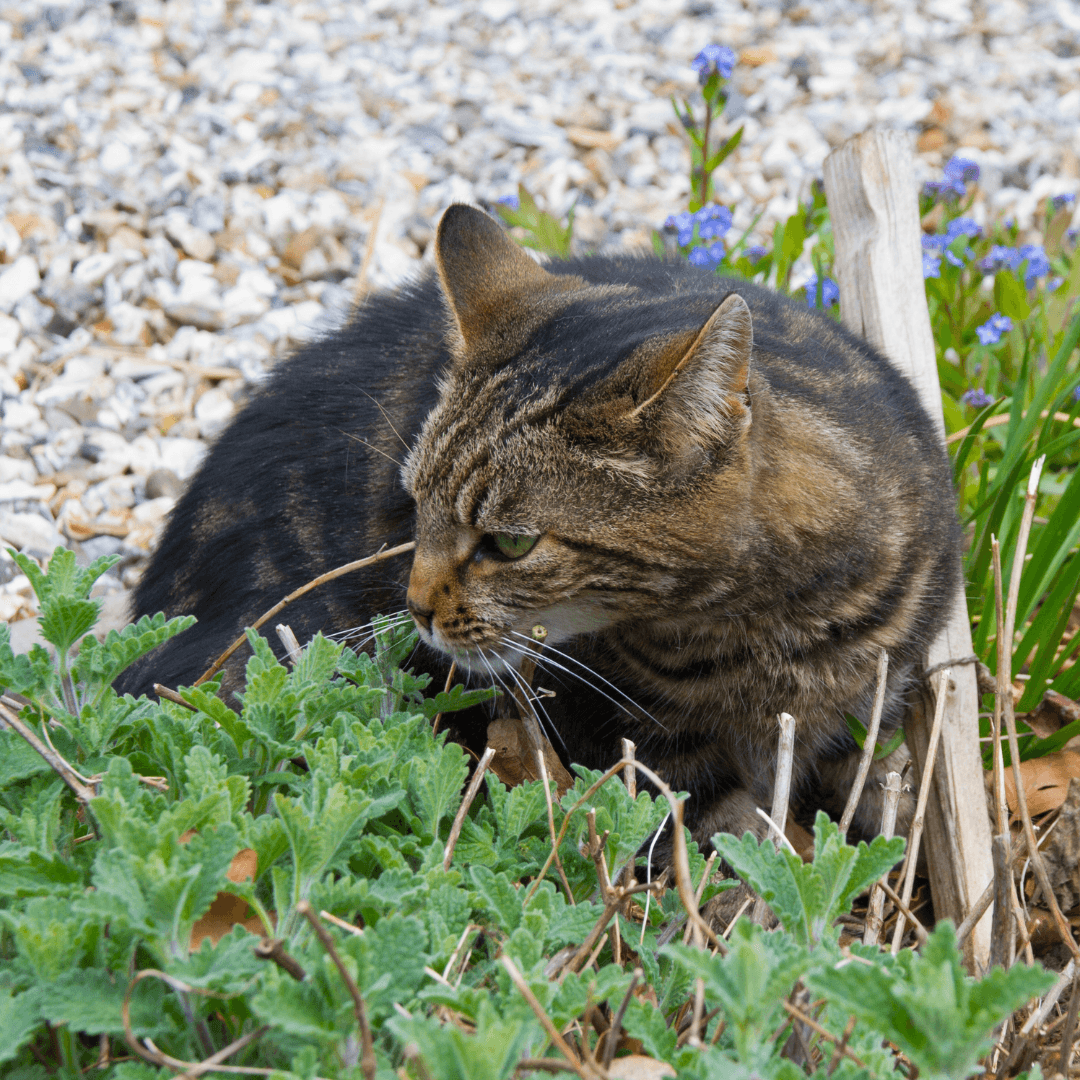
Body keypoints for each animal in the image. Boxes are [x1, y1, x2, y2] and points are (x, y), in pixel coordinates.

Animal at [120, 203, 963, 842]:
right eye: (414, 505)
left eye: (511, 542)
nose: (414, 605)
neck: (760, 631)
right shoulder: (637, 747)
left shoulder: (870, 709)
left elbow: (874, 791)